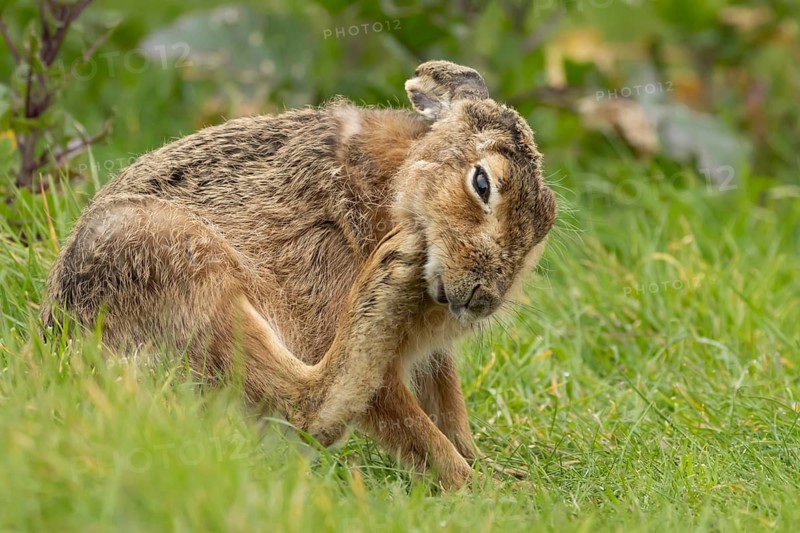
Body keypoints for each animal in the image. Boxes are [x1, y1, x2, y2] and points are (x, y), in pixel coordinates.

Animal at [40, 60, 557, 489]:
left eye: (545, 220)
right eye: (482, 183)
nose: (483, 298)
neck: (400, 194)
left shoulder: (434, 358)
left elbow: (448, 407)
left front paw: (490, 469)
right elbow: (414, 427)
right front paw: (483, 490)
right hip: (180, 264)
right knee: (302, 408)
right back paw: (388, 272)